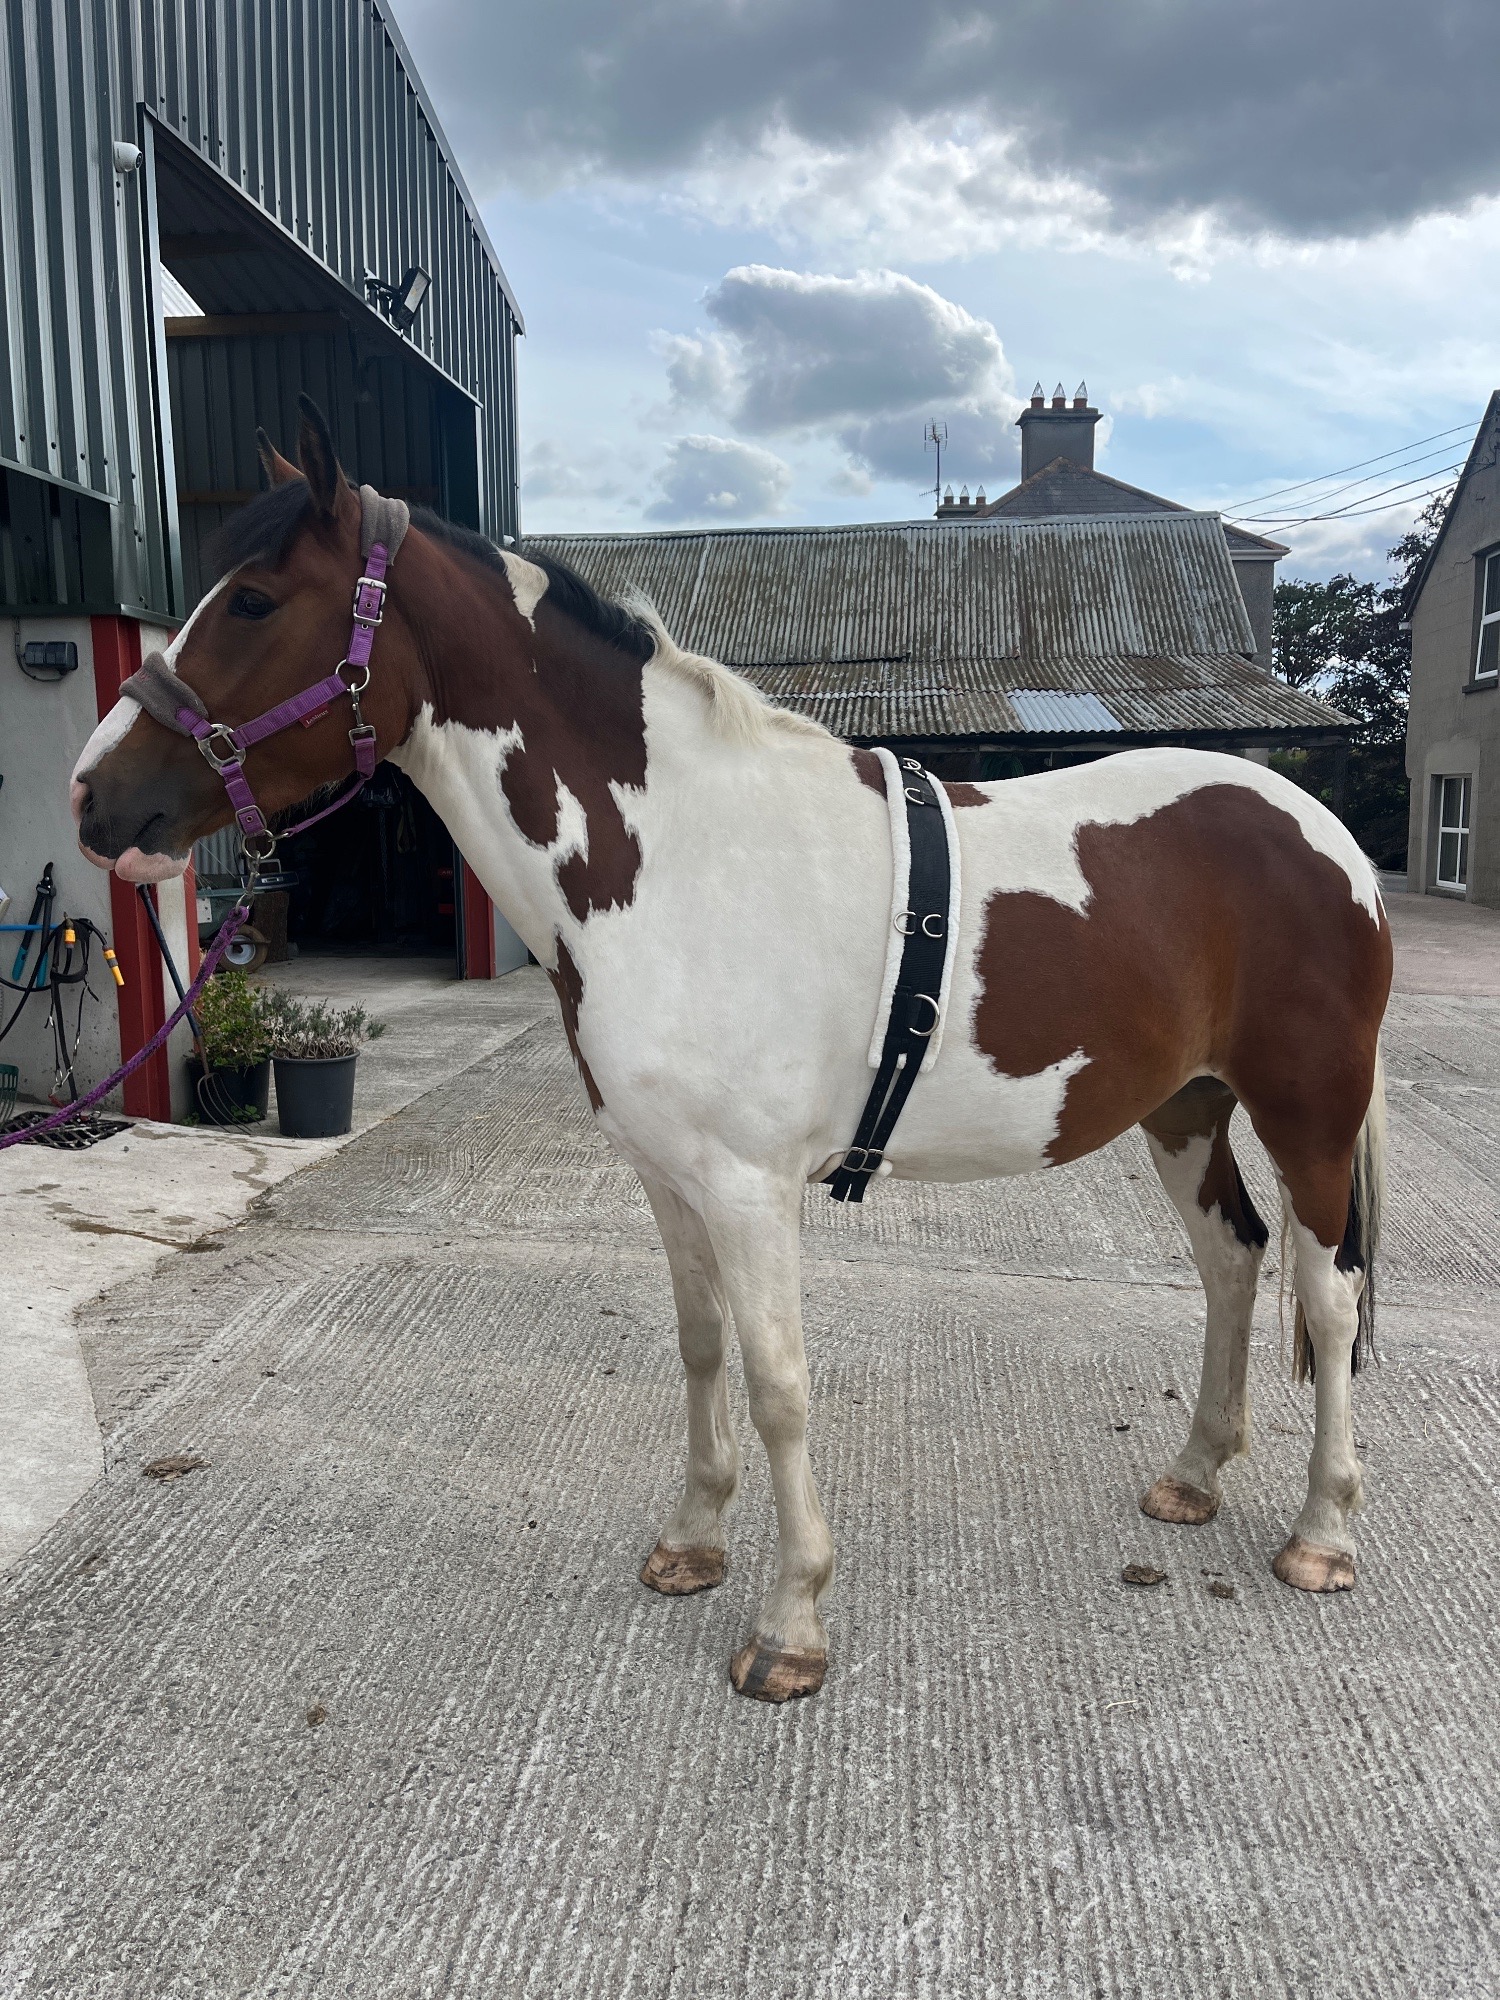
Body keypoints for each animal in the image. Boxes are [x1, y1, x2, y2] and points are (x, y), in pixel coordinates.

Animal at [71, 399, 1392, 1703]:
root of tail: (1327, 834)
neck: (678, 855)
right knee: (1232, 1261)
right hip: (1187, 1107)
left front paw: (789, 1621)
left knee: (1329, 1295)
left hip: (1307, 1113)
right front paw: (693, 1542)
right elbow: (702, 1349)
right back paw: (1195, 1475)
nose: (94, 798)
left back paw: (1323, 1532)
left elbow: (778, 1383)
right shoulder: (670, 1175)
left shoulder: (754, 1188)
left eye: (253, 600)